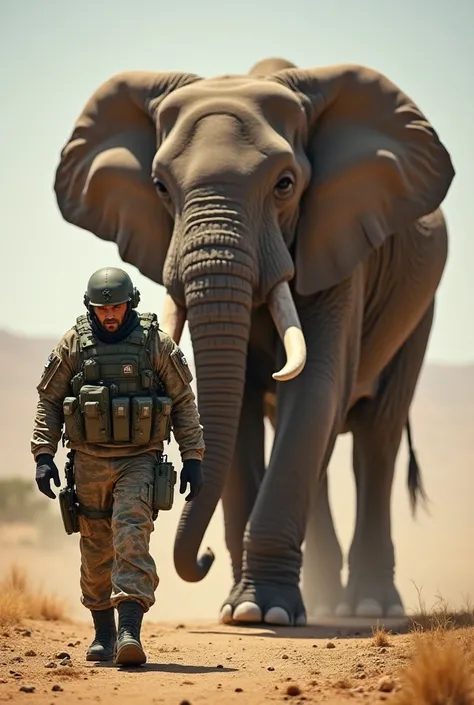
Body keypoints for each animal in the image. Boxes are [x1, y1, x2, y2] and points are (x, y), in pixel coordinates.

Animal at [52, 57, 456, 624]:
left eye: (286, 184)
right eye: (160, 187)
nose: (202, 556)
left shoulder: (336, 243)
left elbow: (315, 388)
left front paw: (266, 613)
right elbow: (236, 406)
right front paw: (241, 609)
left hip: (419, 307)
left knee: (377, 438)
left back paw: (368, 605)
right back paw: (324, 600)